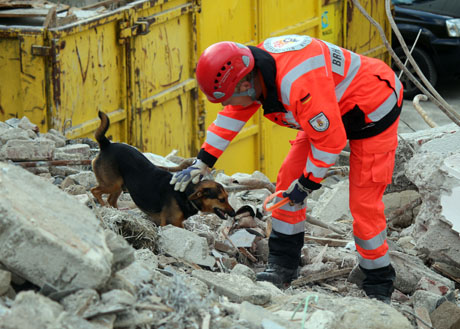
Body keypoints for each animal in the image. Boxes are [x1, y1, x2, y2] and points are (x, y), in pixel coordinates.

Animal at [90, 111, 235, 227]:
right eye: (221, 199)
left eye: (227, 197)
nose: (234, 213)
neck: (186, 193)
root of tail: (107, 144)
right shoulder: (172, 222)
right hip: (112, 184)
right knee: (95, 191)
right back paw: (103, 207)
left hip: (119, 184)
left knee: (111, 200)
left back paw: (117, 212)